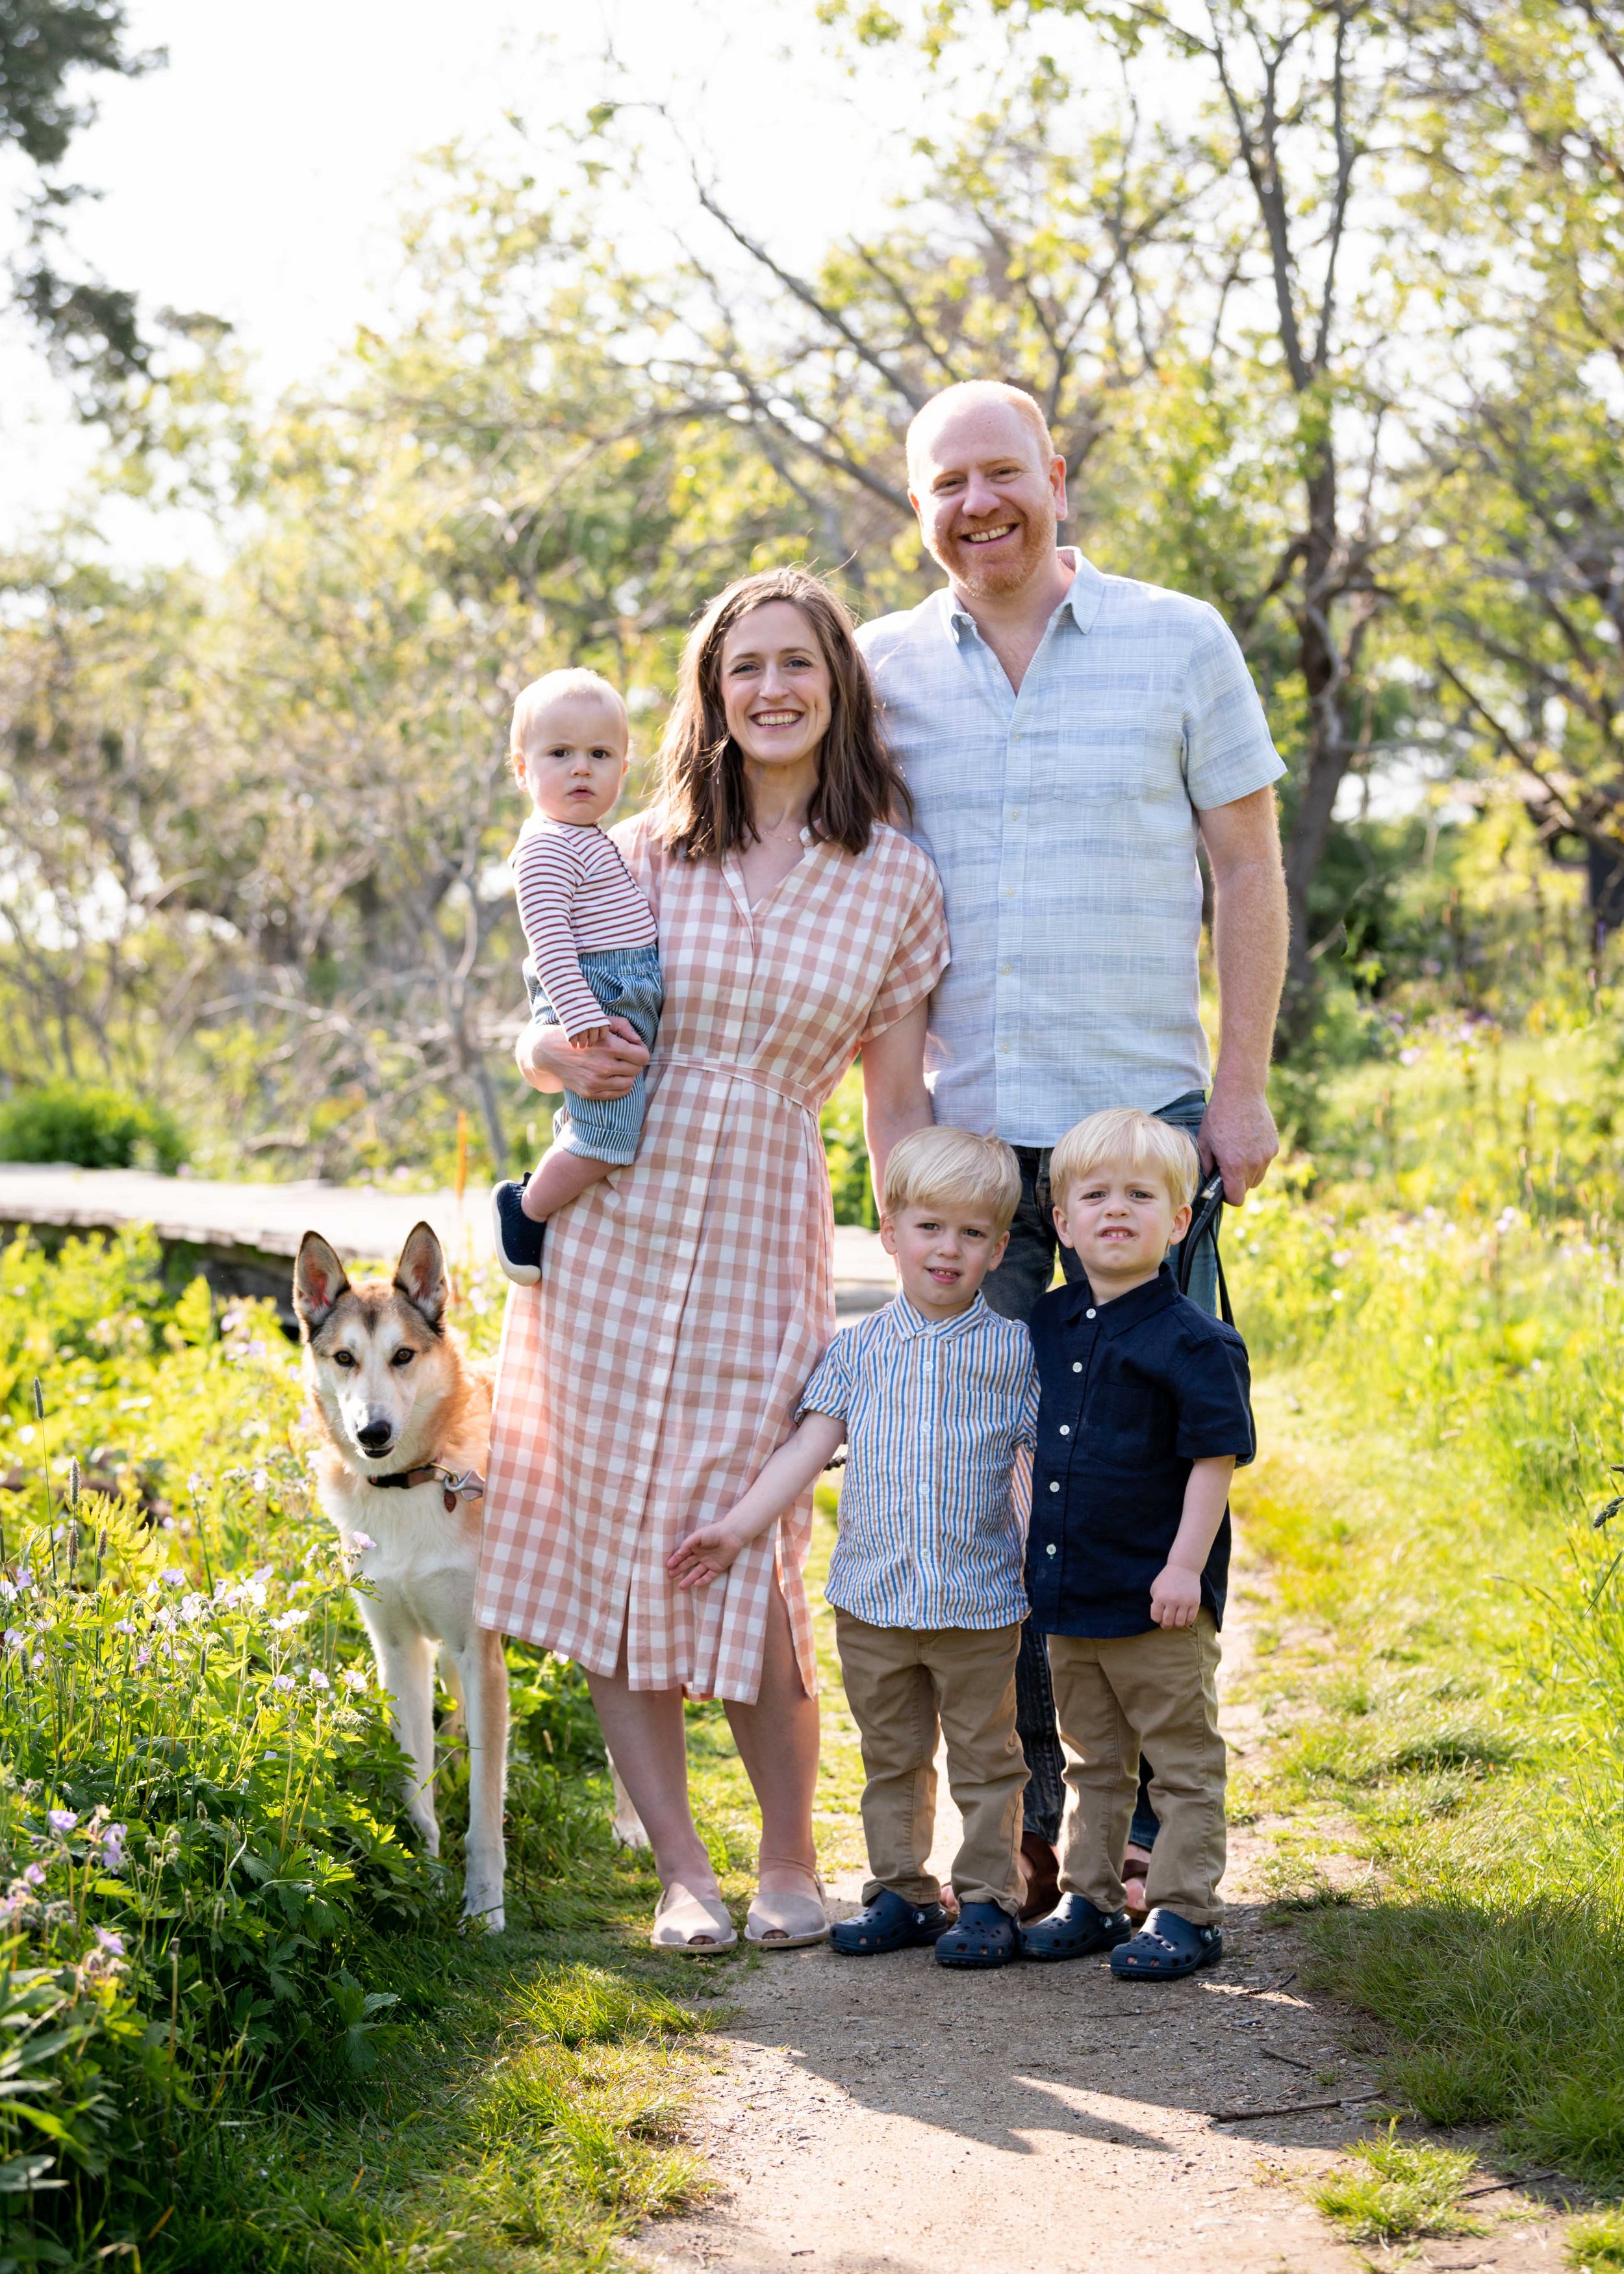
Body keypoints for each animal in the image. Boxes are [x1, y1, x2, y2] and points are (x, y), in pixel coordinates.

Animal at [293, 1228, 509, 1937]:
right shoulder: (400, 1653)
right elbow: (417, 1794)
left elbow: (485, 1813)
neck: (413, 1483)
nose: (373, 1432)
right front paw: (426, 1880)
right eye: (344, 1358)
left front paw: (484, 1906)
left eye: (403, 1355)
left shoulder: (479, 1653)